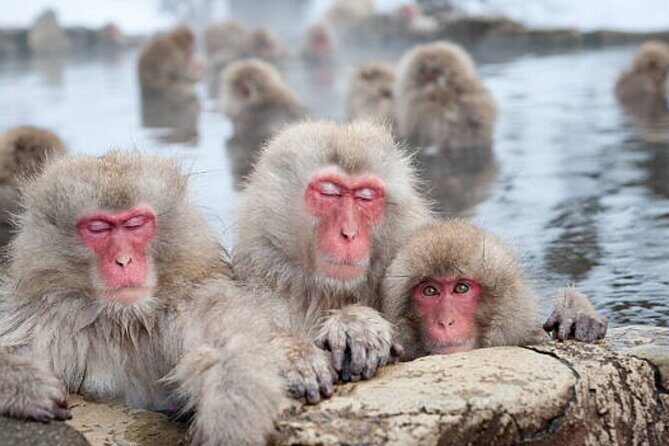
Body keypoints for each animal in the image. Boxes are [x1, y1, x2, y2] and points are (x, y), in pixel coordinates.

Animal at [0, 151, 283, 445]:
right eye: (98, 228)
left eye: (136, 224)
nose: (124, 260)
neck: (125, 321)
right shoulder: (48, 319)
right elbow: (15, 347)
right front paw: (24, 384)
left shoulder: (193, 303)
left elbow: (230, 345)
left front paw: (229, 418)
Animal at [233, 120, 434, 404]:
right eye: (330, 192)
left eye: (365, 196)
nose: (349, 233)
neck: (325, 292)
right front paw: (294, 354)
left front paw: (357, 324)